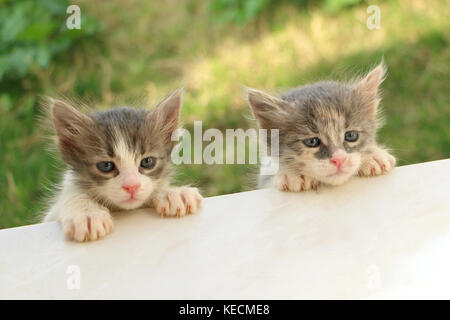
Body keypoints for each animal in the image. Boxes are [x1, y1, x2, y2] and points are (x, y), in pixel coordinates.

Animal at [43, 89, 202, 241]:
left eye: (147, 162)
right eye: (106, 165)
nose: (131, 186)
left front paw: (173, 193)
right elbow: (71, 196)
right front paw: (87, 213)